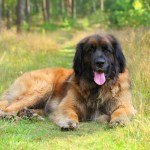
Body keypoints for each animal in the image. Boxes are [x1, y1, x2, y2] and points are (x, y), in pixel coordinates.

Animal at [0, 34, 136, 129]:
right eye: (90, 50)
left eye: (107, 50)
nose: (100, 63)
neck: (96, 88)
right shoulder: (66, 105)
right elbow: (70, 113)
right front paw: (69, 122)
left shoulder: (126, 105)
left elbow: (121, 110)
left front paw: (118, 121)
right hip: (43, 87)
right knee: (8, 108)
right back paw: (11, 116)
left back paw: (30, 115)